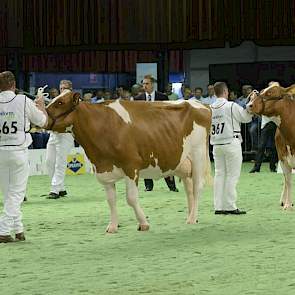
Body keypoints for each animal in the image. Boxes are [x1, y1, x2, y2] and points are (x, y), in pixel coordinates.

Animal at [45, 92, 213, 234]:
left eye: (60, 102)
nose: (43, 112)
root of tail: (201, 104)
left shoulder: (131, 167)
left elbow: (131, 198)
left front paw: (143, 223)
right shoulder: (104, 171)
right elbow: (111, 200)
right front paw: (112, 226)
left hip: (198, 155)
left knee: (197, 188)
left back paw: (192, 218)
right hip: (182, 163)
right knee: (189, 189)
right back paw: (192, 215)